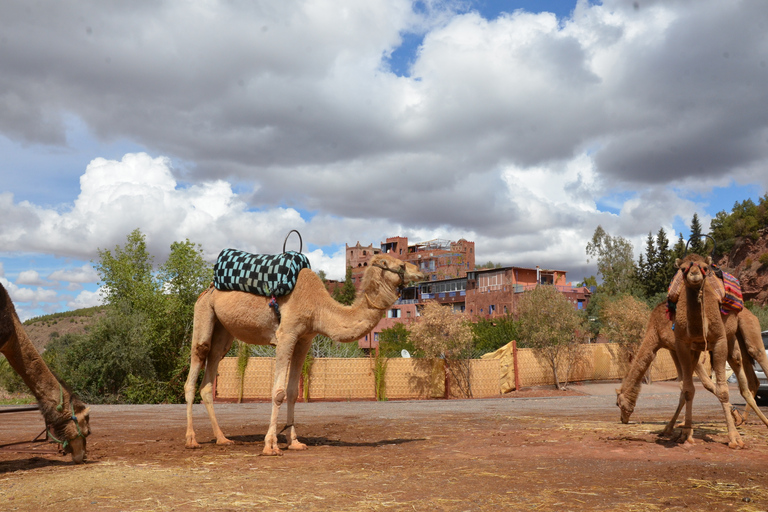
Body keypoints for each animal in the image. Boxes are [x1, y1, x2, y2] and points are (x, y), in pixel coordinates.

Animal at [186, 254, 426, 454]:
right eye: (401, 265)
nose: (421, 272)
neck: (319, 307)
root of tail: (207, 289)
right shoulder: (286, 335)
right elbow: (278, 391)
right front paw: (270, 445)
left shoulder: (304, 339)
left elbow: (293, 392)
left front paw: (295, 442)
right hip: (203, 313)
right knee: (196, 362)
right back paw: (192, 440)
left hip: (224, 330)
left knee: (210, 371)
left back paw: (222, 439)